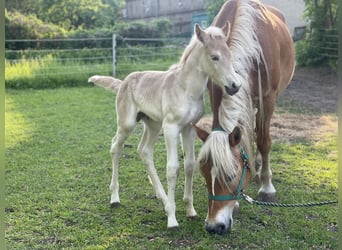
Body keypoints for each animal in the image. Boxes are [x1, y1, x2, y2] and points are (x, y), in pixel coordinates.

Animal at [196, 0, 296, 234]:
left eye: (231, 176)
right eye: (204, 175)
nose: (214, 226)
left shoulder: (268, 98)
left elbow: (264, 141)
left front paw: (267, 187)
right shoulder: (216, 92)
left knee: (261, 135)